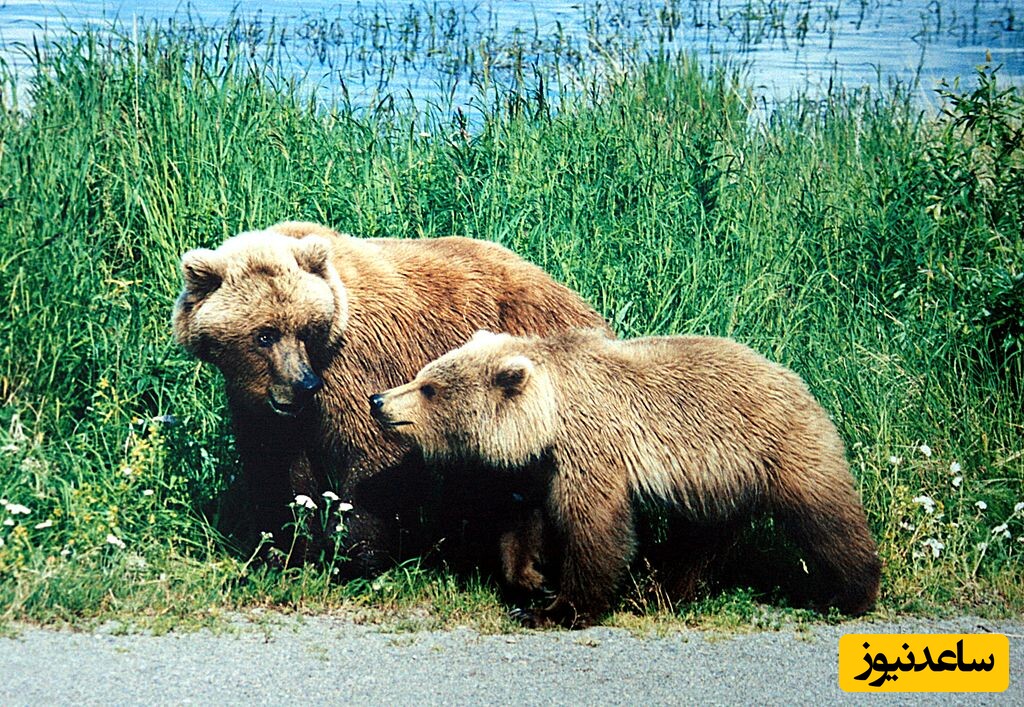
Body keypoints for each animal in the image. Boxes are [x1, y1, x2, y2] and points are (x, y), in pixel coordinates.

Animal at [372, 327, 884, 627]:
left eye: (429, 387)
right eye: (423, 374)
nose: (379, 400)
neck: (549, 418)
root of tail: (795, 376)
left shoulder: (593, 446)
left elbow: (594, 527)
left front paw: (558, 609)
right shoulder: (540, 464)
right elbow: (520, 519)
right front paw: (531, 581)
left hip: (776, 446)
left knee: (824, 515)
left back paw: (849, 594)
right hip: (717, 478)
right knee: (701, 539)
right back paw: (664, 593)